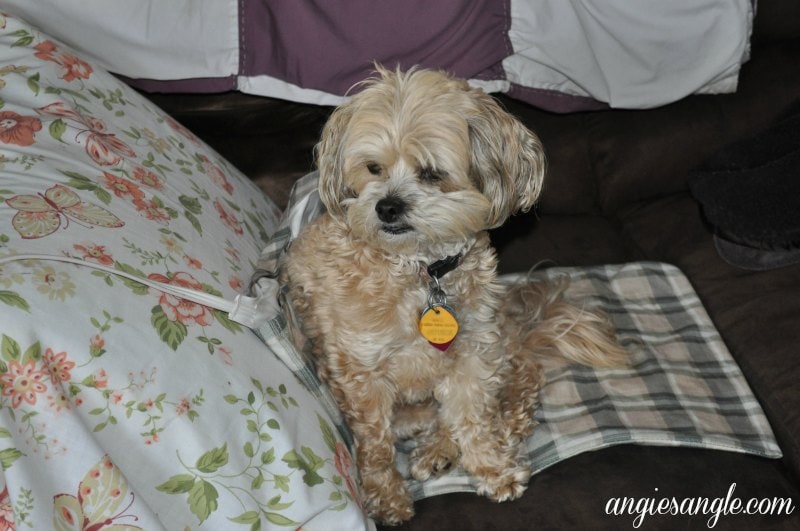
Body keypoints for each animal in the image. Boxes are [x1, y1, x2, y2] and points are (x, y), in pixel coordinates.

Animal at [278, 65, 628, 524]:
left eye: (430, 172)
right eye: (373, 167)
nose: (386, 208)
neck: (421, 270)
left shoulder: (474, 352)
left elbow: (472, 417)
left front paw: (493, 468)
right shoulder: (361, 371)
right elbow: (375, 445)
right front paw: (385, 496)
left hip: (497, 343)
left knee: (519, 383)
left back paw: (458, 443)